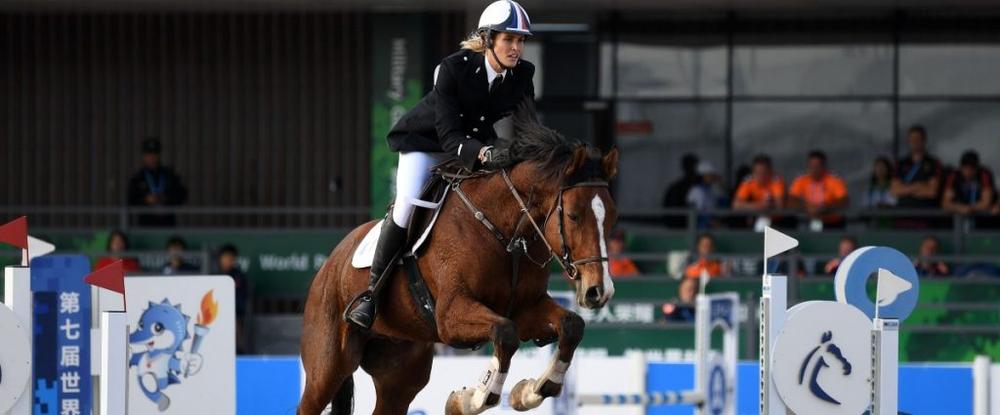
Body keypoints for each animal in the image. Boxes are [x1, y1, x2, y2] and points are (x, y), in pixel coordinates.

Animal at [298, 118, 616, 414]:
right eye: (573, 215)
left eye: (611, 217)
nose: (598, 291)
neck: (505, 232)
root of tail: (330, 263)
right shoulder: (451, 315)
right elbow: (505, 334)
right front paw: (471, 398)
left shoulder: (525, 309)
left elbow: (571, 326)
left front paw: (531, 391)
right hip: (327, 367)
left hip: (399, 370)